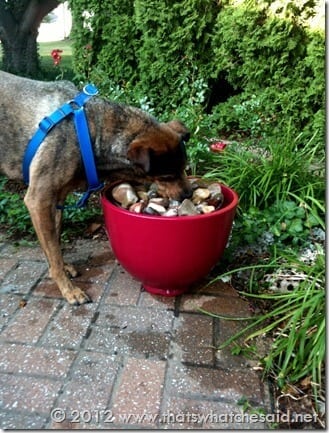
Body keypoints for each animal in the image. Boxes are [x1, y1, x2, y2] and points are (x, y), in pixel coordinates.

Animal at [0, 71, 190, 304]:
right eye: (167, 176)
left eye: (184, 168)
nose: (189, 194)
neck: (93, 132)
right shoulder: (39, 200)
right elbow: (53, 249)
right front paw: (68, 289)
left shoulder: (56, 201)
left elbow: (53, 244)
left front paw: (60, 268)